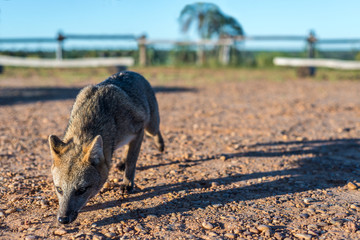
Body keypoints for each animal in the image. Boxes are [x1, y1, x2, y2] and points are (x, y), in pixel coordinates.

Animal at [47, 70, 165, 224]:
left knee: (156, 133)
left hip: (150, 127)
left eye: (81, 190)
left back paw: (160, 145)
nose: (63, 219)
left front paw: (127, 183)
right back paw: (121, 163)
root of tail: (131, 71)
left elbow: (131, 161)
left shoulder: (139, 131)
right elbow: (128, 156)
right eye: (59, 189)